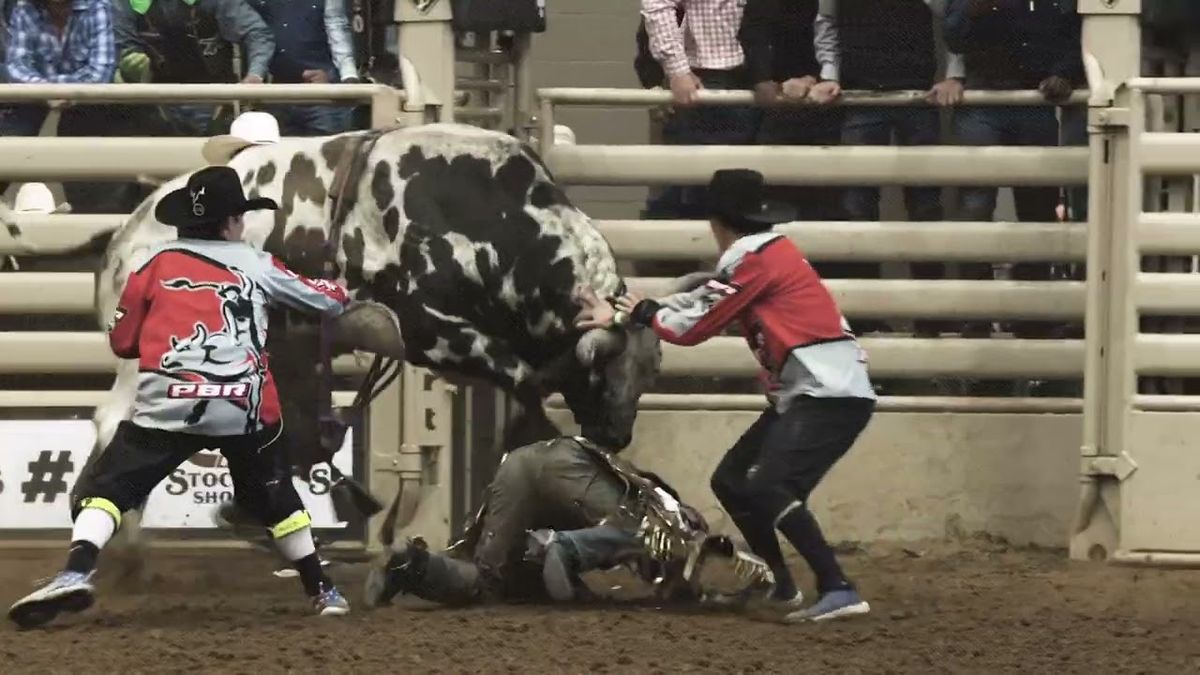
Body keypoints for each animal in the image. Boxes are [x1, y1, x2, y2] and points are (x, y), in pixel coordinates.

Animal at [85, 124, 672, 552]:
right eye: (606, 372)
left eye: (650, 371)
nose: (618, 435)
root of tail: (128, 232)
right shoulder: (430, 332)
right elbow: (525, 386)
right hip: (155, 355)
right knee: (118, 420)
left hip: (283, 347)